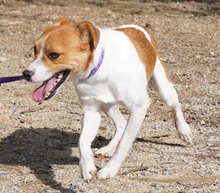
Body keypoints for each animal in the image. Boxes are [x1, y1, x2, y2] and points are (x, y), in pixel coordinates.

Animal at [21, 18, 192, 181]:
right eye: (34, 50)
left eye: (54, 55)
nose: (26, 74)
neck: (100, 68)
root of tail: (138, 28)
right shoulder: (92, 110)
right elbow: (82, 141)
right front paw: (87, 166)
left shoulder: (139, 107)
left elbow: (124, 145)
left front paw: (110, 169)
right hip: (107, 105)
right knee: (121, 123)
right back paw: (108, 149)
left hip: (164, 89)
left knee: (175, 105)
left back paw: (184, 130)